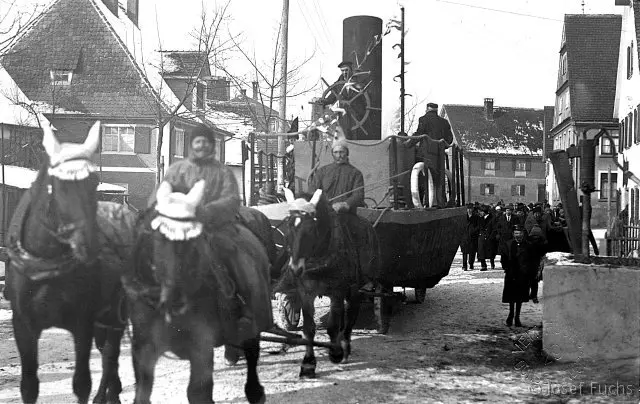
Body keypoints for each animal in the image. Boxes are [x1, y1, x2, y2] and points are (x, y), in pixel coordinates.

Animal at [3, 120, 134, 404]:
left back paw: (109, 394)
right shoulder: (24, 327)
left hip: (117, 312)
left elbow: (82, 383)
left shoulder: (81, 323)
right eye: (57, 183)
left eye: (94, 181)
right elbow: (29, 386)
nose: (89, 243)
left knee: (110, 354)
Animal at [127, 181, 270, 404]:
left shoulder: (201, 345)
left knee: (251, 348)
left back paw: (255, 391)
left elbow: (198, 392)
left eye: (191, 240)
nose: (175, 297)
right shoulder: (143, 346)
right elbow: (142, 392)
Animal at [276, 188, 380, 378]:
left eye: (311, 228)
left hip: (356, 288)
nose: (295, 269)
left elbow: (333, 326)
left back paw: (344, 347)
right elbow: (309, 328)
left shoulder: (337, 291)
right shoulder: (306, 292)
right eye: (289, 226)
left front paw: (336, 353)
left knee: (350, 316)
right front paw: (308, 364)